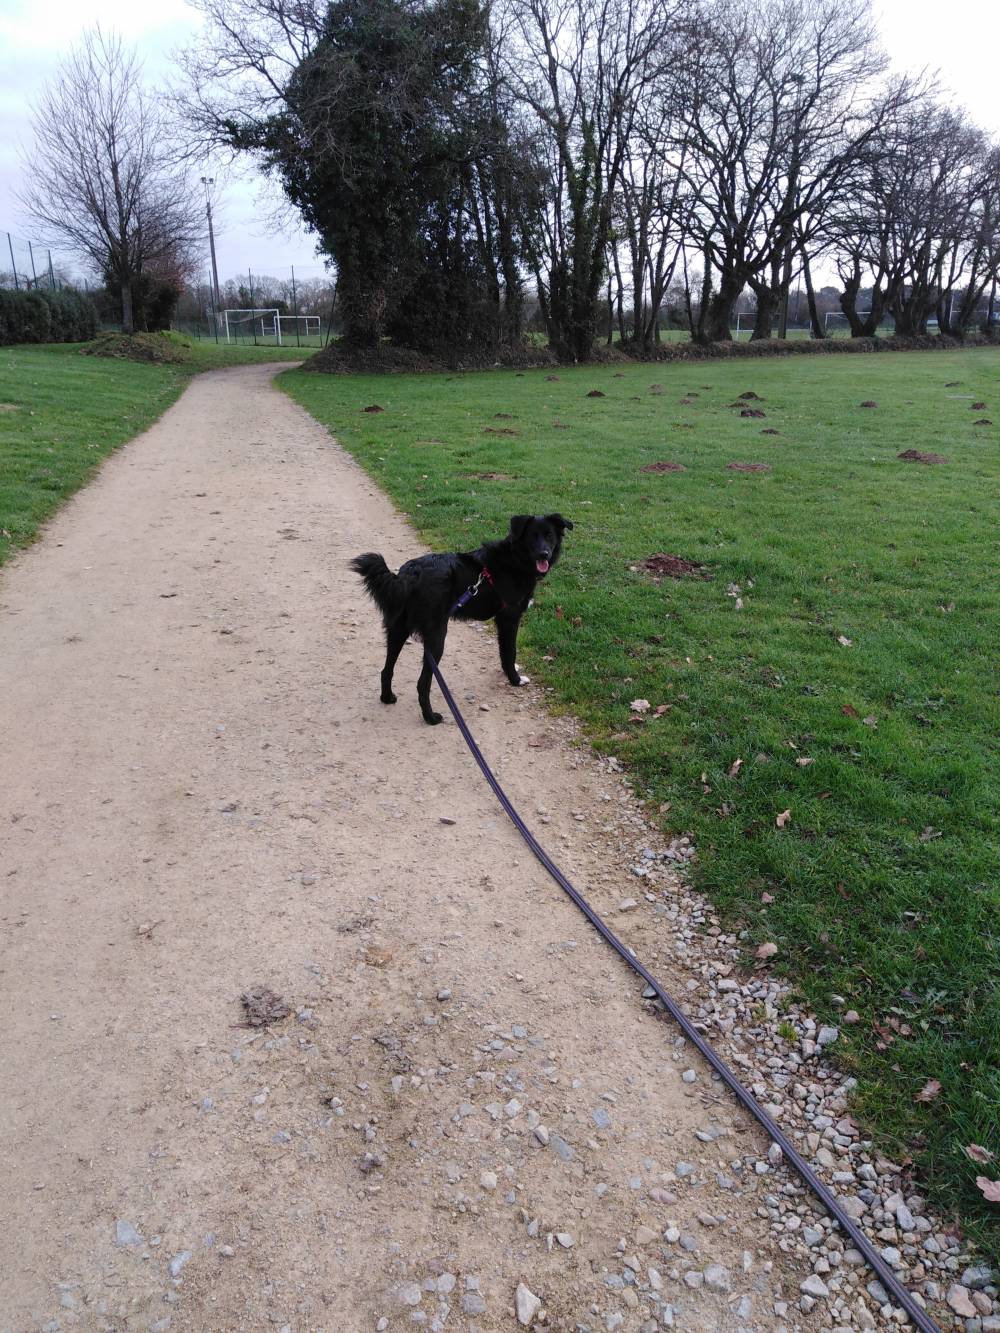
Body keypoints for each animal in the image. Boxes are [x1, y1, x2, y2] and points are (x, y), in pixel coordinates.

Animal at [352, 509, 576, 725]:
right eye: (532, 537)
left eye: (549, 536)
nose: (544, 554)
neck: (515, 560)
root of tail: (410, 573)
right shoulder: (509, 618)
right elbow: (510, 653)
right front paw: (515, 679)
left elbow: (504, 653)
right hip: (436, 636)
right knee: (422, 684)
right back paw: (430, 718)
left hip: (398, 630)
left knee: (386, 669)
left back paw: (387, 698)